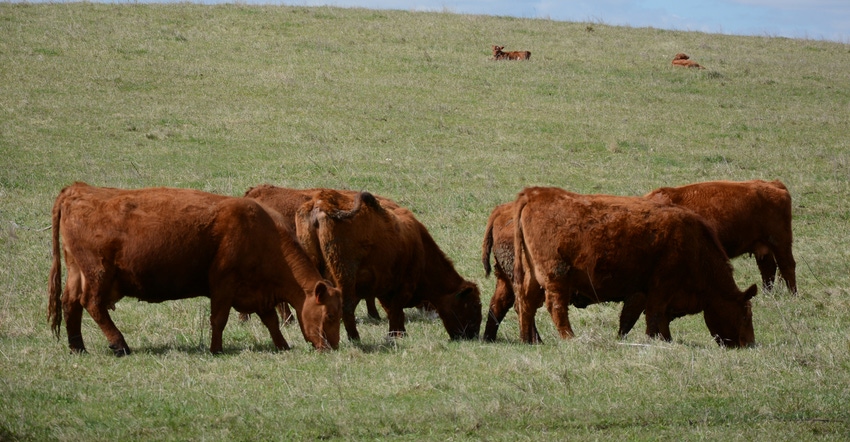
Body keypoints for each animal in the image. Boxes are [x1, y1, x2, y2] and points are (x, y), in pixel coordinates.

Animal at [48, 182, 342, 356]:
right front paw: (216, 349)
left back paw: (77, 347)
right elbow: (219, 319)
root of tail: (78, 190)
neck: (261, 231)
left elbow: (270, 320)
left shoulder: (258, 292)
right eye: (329, 316)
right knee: (92, 304)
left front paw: (282, 345)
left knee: (70, 302)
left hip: (77, 271)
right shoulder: (223, 284)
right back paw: (119, 344)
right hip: (98, 273)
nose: (332, 347)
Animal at [294, 191, 480, 342]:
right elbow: (396, 310)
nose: (472, 335)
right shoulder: (403, 285)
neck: (418, 245)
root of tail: (321, 202)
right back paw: (355, 337)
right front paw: (398, 334)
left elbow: (392, 309)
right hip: (345, 275)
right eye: (473, 305)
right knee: (347, 307)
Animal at [480, 200, 640, 342]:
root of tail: (502, 210)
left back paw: (491, 338)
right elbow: (629, 318)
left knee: (499, 305)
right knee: (523, 306)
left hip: (505, 279)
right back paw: (537, 341)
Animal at [510, 186, 756, 348]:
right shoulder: (661, 287)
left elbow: (632, 318)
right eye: (746, 315)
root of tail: (535, 193)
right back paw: (570, 338)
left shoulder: (640, 291)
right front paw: (656, 340)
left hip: (533, 277)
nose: (750, 344)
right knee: (556, 307)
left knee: (525, 303)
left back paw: (527, 340)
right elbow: (655, 315)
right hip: (556, 276)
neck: (695, 243)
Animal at [644, 178, 796, 296]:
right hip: (763, 246)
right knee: (768, 269)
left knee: (787, 266)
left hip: (780, 241)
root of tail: (773, 184)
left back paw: (792, 296)